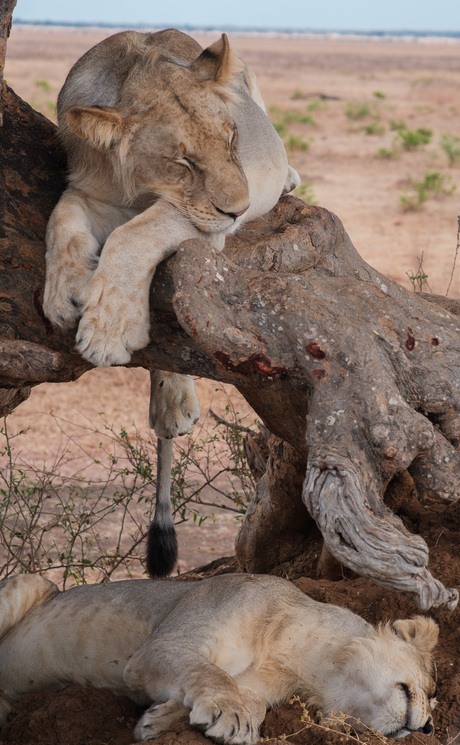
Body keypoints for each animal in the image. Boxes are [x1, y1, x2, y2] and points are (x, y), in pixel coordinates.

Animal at [0, 573, 438, 742]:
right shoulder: (159, 648)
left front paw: (158, 721)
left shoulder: (261, 686)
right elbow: (212, 674)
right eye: (429, 689)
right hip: (31, 583)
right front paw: (230, 717)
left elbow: (251, 701)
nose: (430, 727)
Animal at [42, 29, 300, 578]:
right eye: (183, 161)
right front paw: (64, 293)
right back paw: (171, 403)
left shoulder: (202, 223)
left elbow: (136, 234)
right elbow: (63, 219)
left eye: (232, 140)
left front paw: (107, 332)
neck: (139, 186)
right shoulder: (90, 192)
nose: (243, 208)